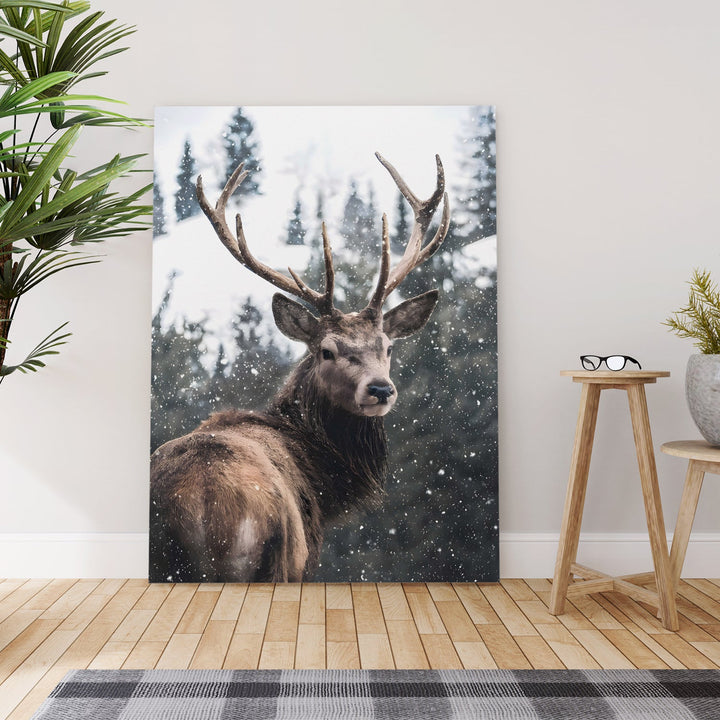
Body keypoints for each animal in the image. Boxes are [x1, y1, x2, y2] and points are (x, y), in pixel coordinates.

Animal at [149, 152, 450, 583]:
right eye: (326, 351)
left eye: (388, 347)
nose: (380, 388)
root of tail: (203, 509)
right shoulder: (304, 559)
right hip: (275, 559)